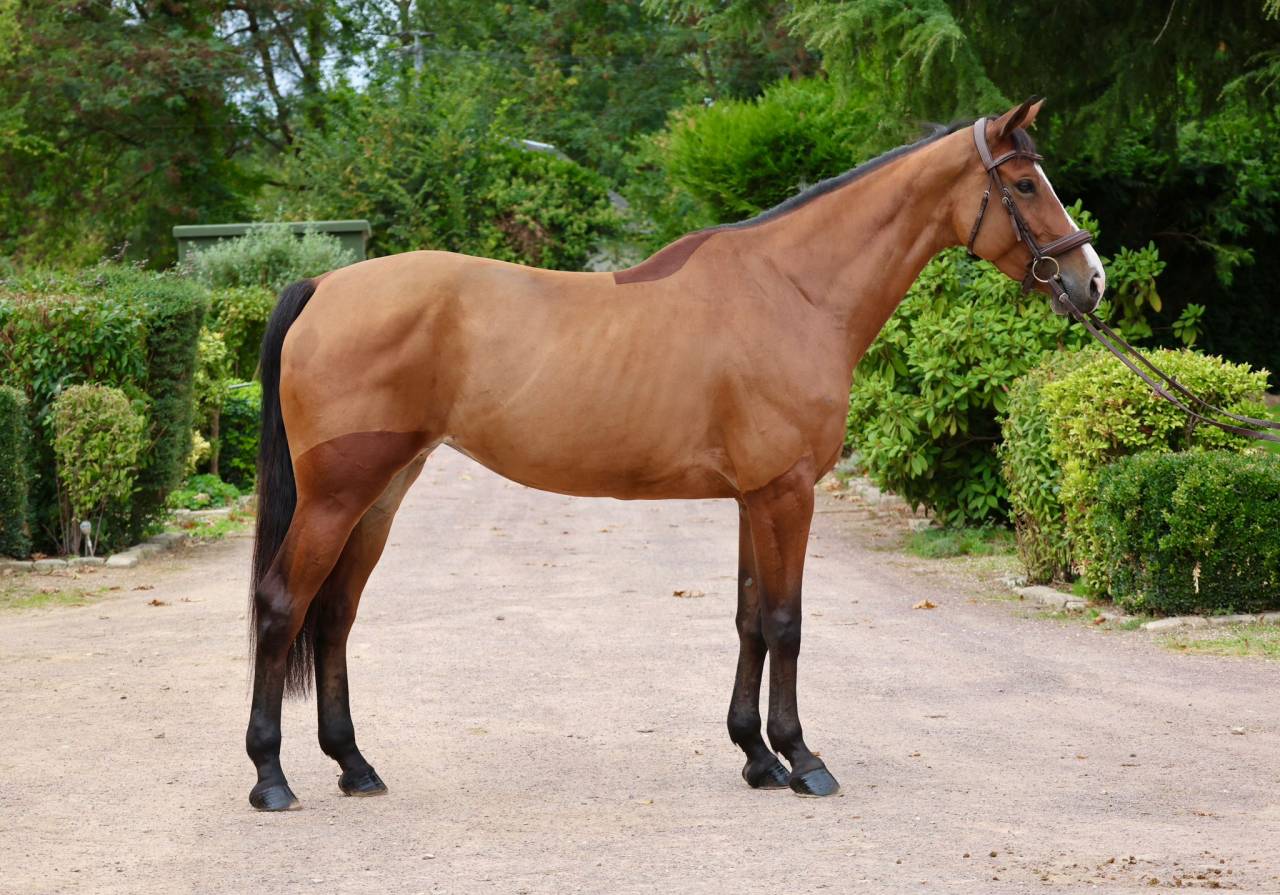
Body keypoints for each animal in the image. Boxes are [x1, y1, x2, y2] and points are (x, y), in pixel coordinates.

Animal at [244, 97, 1105, 811]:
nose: (1089, 280)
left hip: (382, 492)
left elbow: (750, 618)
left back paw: (355, 765)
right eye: (1024, 183)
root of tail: (324, 286)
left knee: (334, 616)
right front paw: (803, 759)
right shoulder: (788, 492)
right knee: (283, 606)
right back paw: (271, 776)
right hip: (336, 496)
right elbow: (787, 621)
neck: (793, 291)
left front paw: (757, 756)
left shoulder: (756, 496)